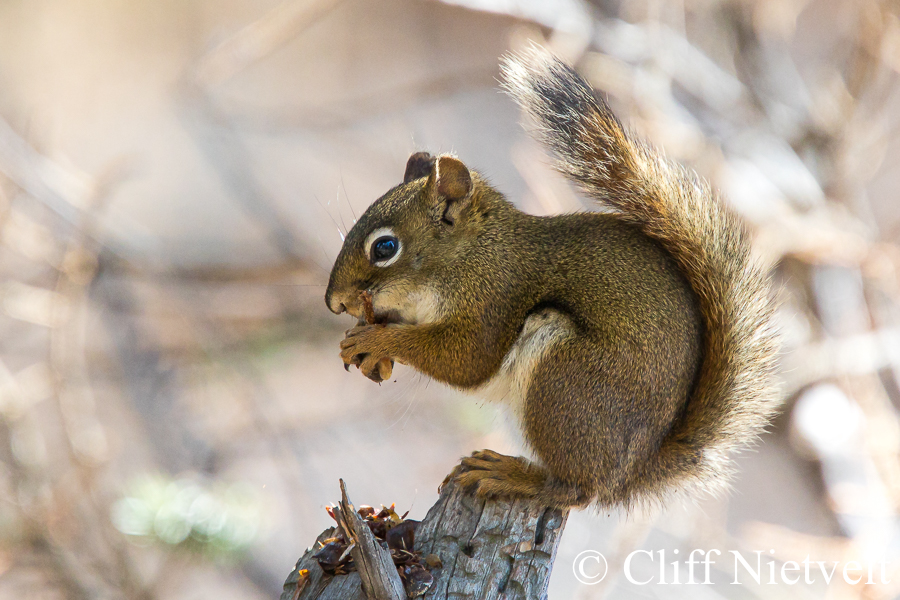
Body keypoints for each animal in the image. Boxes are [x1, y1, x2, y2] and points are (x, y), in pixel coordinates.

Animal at [324, 47, 778, 509]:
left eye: (385, 248)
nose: (335, 302)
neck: (472, 253)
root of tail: (628, 477)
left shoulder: (494, 295)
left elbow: (467, 360)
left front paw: (379, 341)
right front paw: (369, 351)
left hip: (565, 380)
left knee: (573, 490)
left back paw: (511, 475)